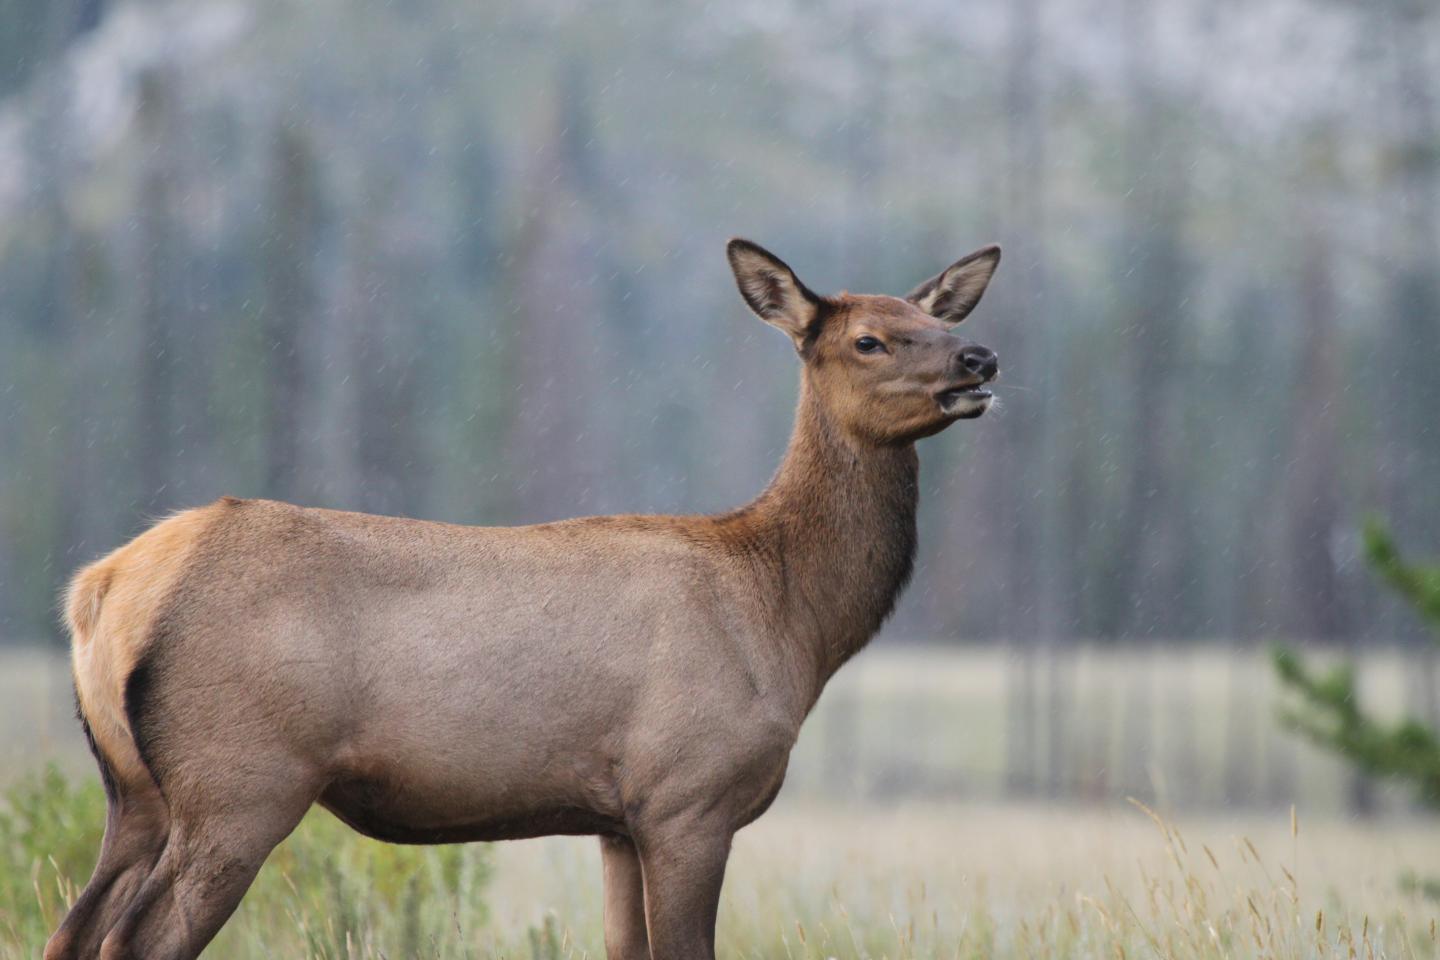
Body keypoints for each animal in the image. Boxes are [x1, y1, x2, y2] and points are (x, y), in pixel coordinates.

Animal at [47, 238, 1002, 960]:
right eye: (870, 339)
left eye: (939, 319)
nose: (981, 357)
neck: (792, 621)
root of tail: (100, 591)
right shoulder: (689, 792)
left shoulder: (618, 820)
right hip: (240, 780)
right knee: (136, 939)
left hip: (135, 791)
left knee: (74, 929)